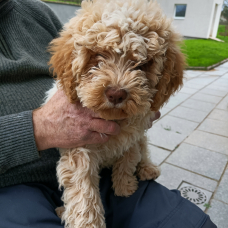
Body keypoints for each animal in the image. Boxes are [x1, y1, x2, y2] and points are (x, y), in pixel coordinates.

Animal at [46, 0, 185, 227]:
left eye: (142, 64)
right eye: (97, 56)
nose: (116, 93)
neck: (113, 119)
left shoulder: (133, 136)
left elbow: (129, 158)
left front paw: (124, 187)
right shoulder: (79, 145)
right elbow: (82, 191)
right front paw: (88, 223)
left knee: (144, 149)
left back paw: (147, 168)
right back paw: (61, 210)